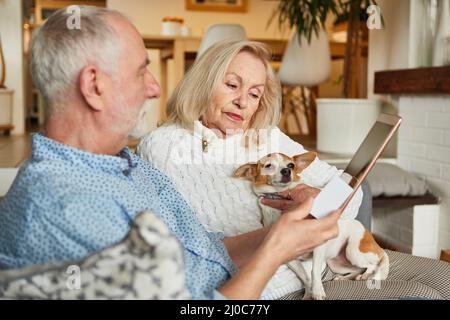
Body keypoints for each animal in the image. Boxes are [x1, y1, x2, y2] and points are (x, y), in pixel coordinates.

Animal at [234, 152, 388, 300]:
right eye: (268, 166)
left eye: (291, 165)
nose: (286, 171)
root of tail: (374, 241)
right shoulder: (289, 257)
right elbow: (305, 277)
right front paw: (308, 293)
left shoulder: (318, 244)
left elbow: (314, 271)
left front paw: (318, 291)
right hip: (336, 263)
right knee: (356, 269)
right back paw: (345, 277)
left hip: (353, 251)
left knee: (372, 265)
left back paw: (366, 275)